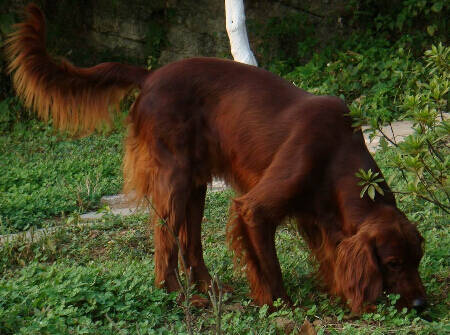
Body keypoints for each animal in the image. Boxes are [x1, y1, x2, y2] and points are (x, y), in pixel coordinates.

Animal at [7, 3, 428, 316]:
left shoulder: (319, 216)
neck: (338, 151)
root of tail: (150, 75)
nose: (422, 304)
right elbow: (268, 264)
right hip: (174, 179)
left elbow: (331, 256)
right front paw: (282, 305)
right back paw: (180, 296)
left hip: (195, 184)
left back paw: (211, 290)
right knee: (165, 242)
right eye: (393, 263)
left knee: (190, 243)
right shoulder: (255, 209)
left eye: (418, 260)